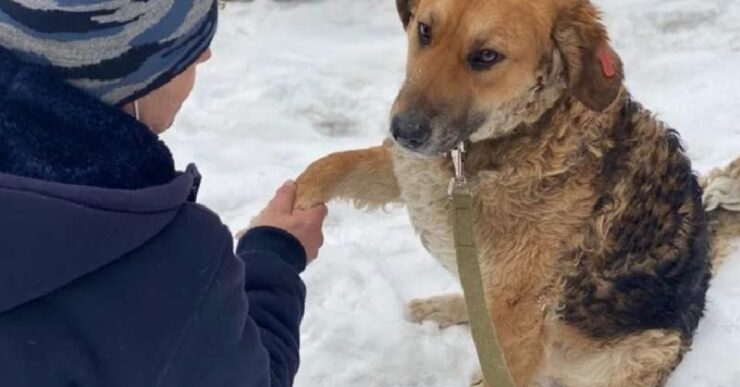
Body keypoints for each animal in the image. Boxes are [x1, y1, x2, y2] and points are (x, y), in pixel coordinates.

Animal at [290, 0, 740, 384]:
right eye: (425, 31)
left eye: (487, 56)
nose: (405, 130)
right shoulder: (414, 173)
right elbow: (335, 164)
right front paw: (293, 209)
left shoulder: (517, 315)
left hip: (630, 353)